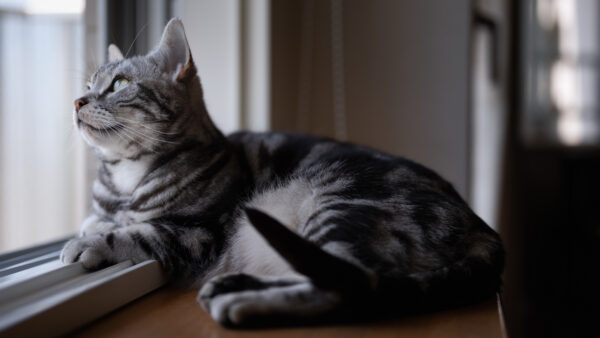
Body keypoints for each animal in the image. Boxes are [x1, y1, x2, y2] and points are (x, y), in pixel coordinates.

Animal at [61, 17, 504, 324]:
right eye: (88, 84)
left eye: (119, 84)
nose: (78, 101)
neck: (123, 179)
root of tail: (484, 228)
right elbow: (102, 220)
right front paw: (94, 227)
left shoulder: (198, 233)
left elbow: (138, 231)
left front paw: (91, 243)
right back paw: (234, 285)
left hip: (342, 204)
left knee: (344, 287)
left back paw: (243, 300)